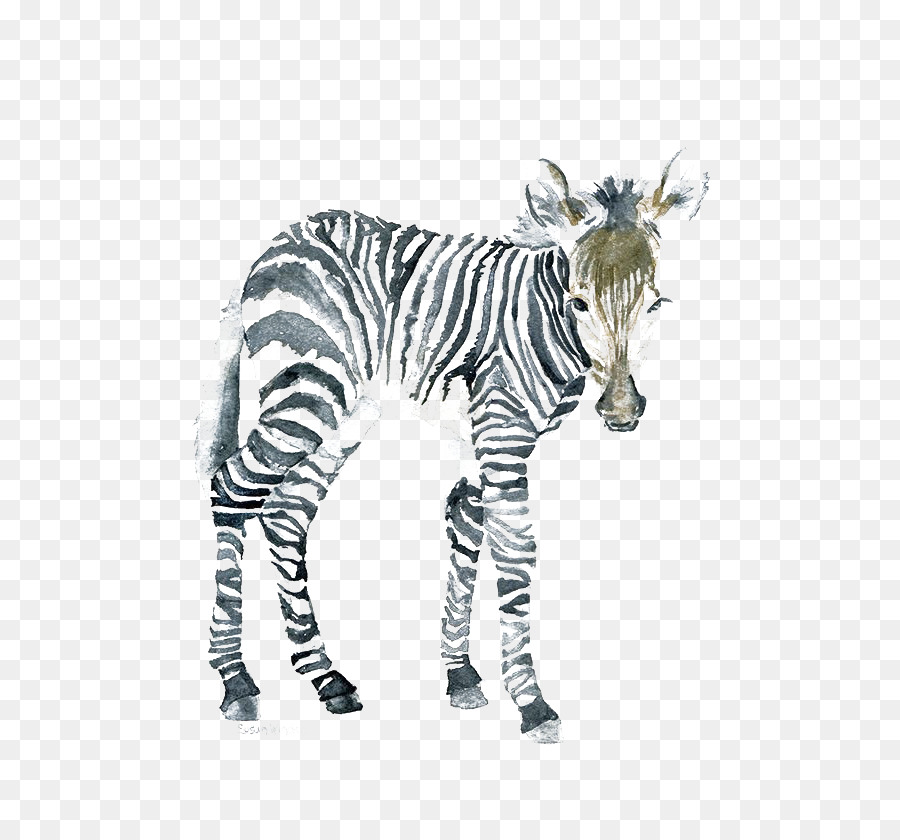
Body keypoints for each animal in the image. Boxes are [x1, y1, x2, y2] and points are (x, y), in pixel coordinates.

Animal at [196, 153, 707, 743]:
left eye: (655, 304)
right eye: (579, 301)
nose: (622, 412)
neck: (548, 319)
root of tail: (272, 246)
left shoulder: (485, 437)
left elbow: (465, 525)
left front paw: (460, 675)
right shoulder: (503, 432)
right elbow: (515, 554)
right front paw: (531, 703)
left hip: (344, 412)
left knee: (285, 515)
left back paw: (326, 678)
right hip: (305, 394)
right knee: (231, 491)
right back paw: (235, 681)